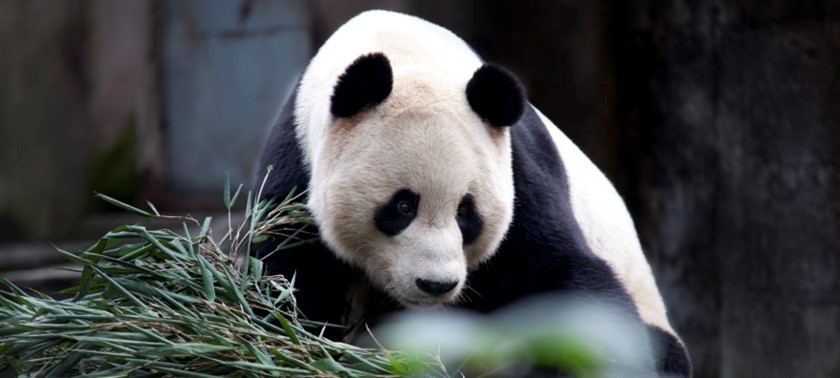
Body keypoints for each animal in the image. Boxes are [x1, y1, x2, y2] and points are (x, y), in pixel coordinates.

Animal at [254, 9, 688, 378]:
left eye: (466, 212)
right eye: (402, 206)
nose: (436, 285)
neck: (404, 55)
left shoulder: (518, 173)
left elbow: (564, 280)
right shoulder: (295, 167)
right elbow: (284, 279)